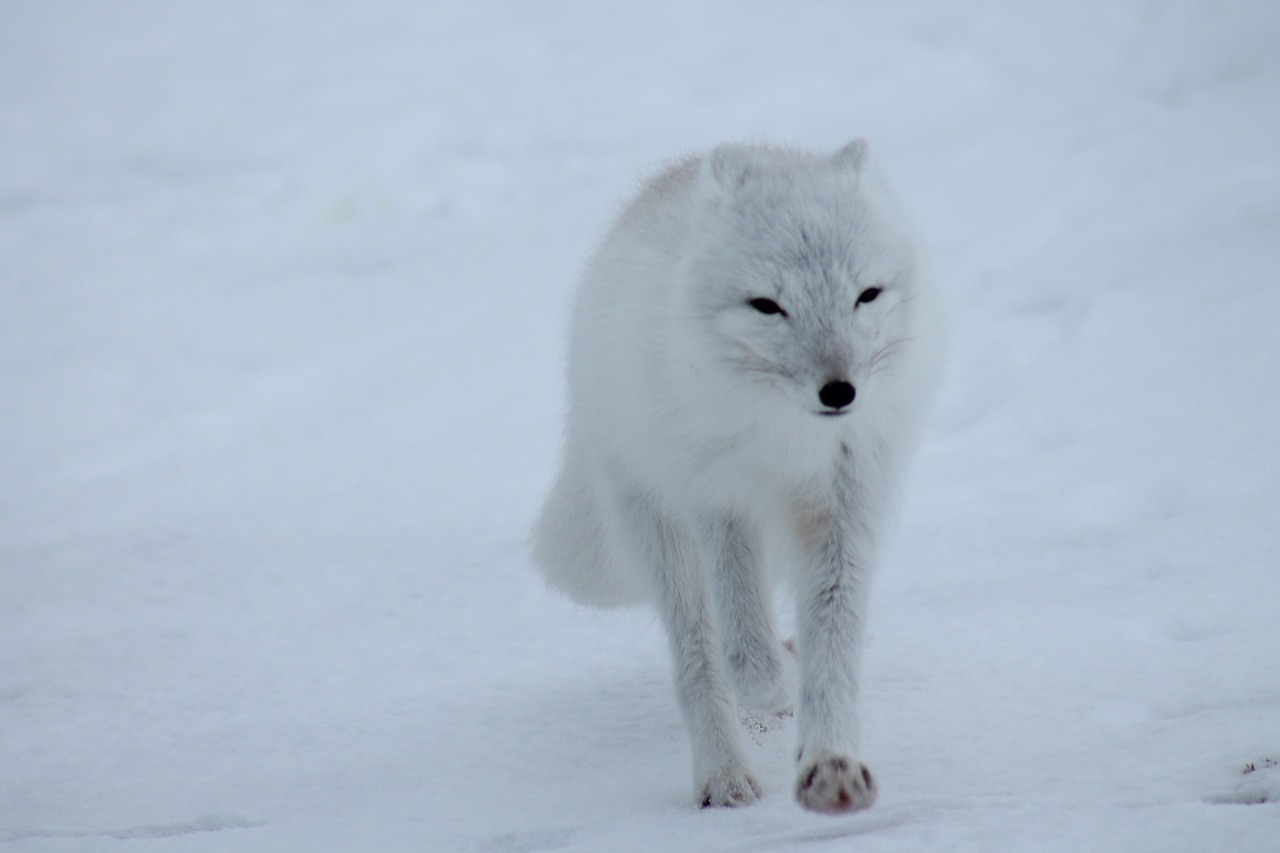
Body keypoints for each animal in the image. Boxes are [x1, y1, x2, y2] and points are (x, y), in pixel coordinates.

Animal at [529, 139, 942, 809]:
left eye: (867, 294)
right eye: (767, 306)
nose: (840, 392)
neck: (790, 439)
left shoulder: (844, 509)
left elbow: (834, 645)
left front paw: (831, 766)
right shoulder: (721, 505)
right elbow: (746, 656)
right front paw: (778, 687)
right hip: (660, 534)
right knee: (700, 657)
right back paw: (724, 777)